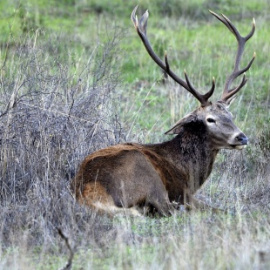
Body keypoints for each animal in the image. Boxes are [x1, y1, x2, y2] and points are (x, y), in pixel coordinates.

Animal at [69, 6, 255, 217]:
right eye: (210, 119)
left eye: (230, 115)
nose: (242, 137)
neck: (188, 173)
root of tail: (89, 192)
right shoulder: (183, 193)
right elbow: (219, 209)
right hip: (146, 176)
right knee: (166, 209)